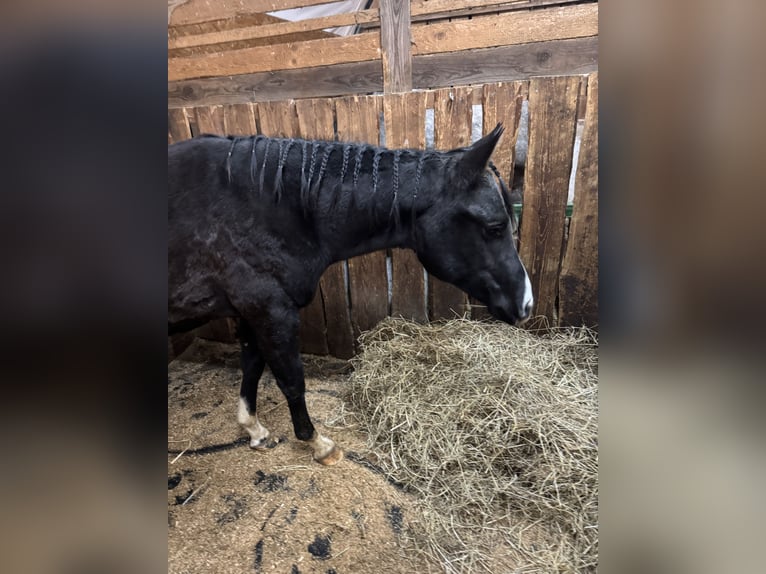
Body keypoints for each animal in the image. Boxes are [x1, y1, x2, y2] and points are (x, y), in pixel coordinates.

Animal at [168, 123, 533, 465]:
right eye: (495, 228)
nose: (526, 303)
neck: (264, 207)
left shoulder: (250, 313)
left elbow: (253, 367)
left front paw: (254, 430)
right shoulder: (271, 311)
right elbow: (291, 380)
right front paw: (318, 444)